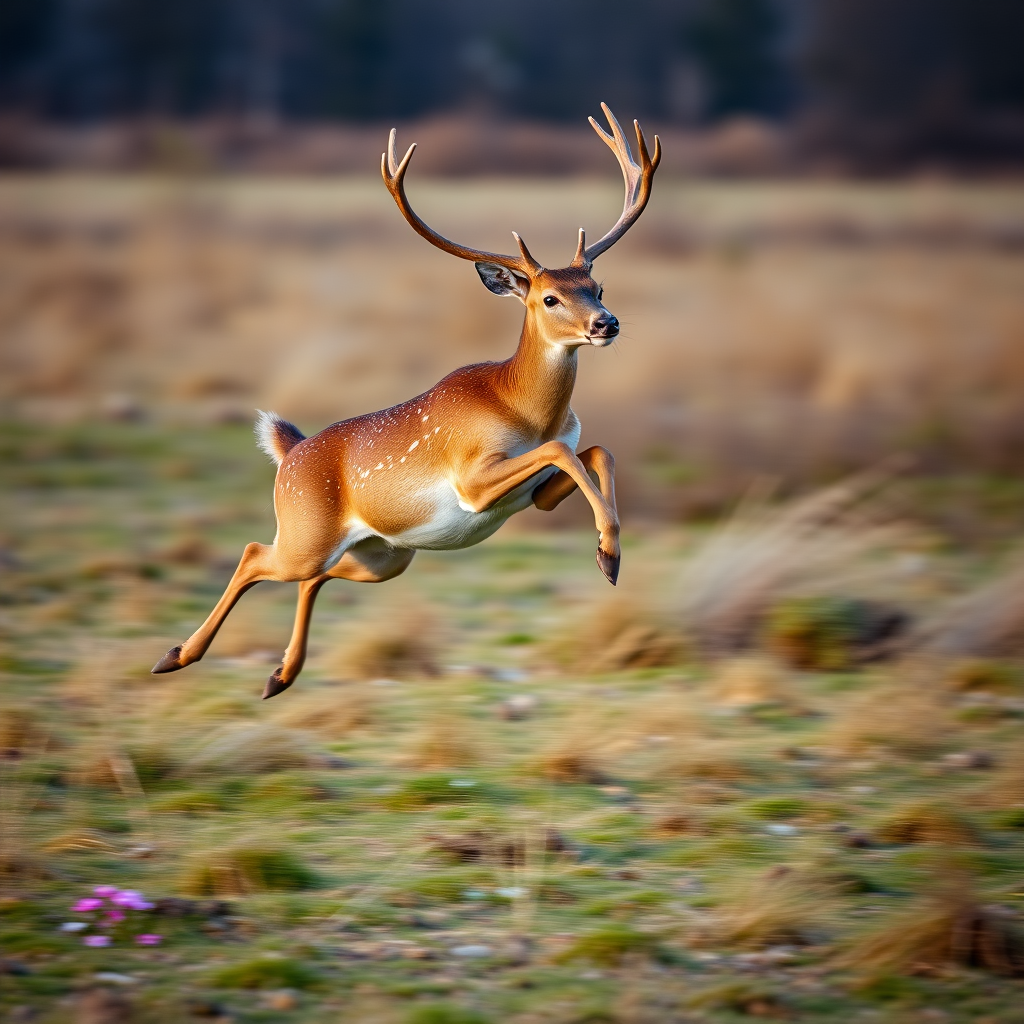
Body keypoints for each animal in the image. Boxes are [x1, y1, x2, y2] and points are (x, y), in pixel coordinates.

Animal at [151, 104, 660, 699]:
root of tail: (289, 452)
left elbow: (596, 451)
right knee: (257, 554)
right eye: (550, 297)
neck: (526, 410)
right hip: (306, 531)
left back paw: (280, 674)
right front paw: (608, 555)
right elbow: (564, 452)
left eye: (597, 288)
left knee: (313, 576)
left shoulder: (533, 494)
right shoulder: (472, 478)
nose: (607, 323)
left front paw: (609, 555)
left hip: (383, 555)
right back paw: (177, 655)